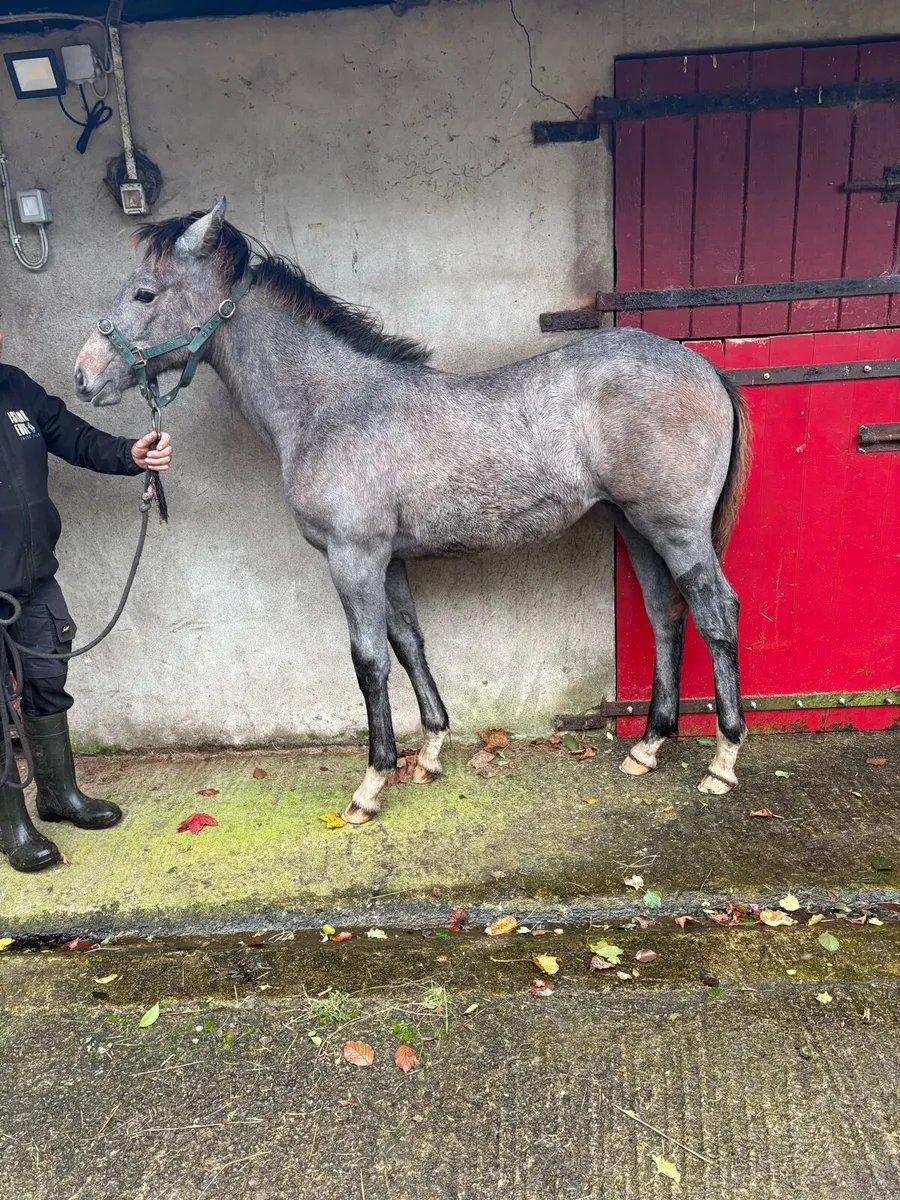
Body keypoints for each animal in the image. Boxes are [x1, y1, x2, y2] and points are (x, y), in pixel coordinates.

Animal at [75, 200, 751, 825]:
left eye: (144, 292)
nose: (84, 376)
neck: (331, 406)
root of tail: (706, 367)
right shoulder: (388, 559)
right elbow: (408, 642)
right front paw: (428, 754)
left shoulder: (354, 558)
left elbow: (369, 661)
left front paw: (371, 785)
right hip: (636, 527)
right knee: (665, 615)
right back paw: (648, 747)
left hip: (677, 529)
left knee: (716, 611)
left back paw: (722, 761)